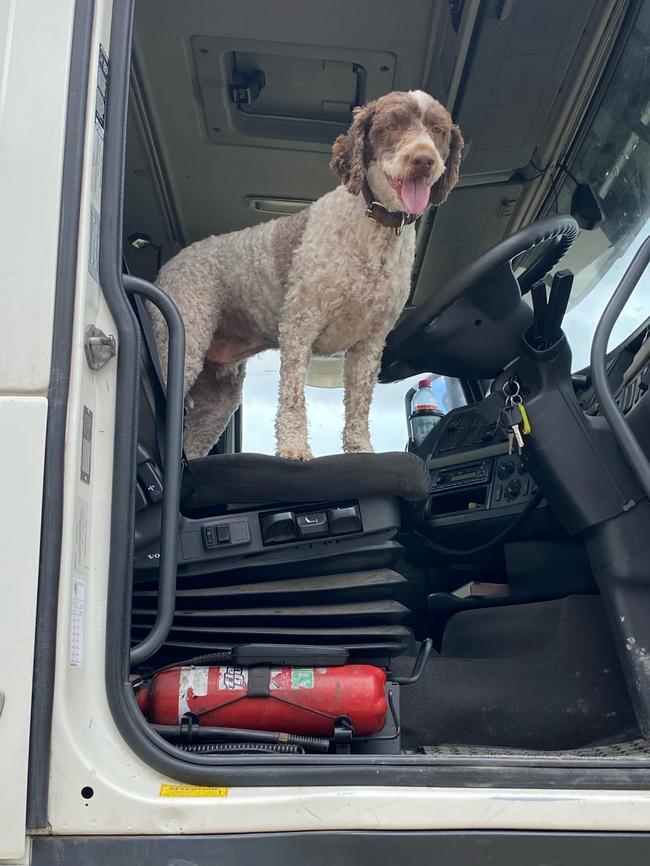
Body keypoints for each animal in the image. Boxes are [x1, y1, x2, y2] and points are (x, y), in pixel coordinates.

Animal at [151, 89, 460, 460]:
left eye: (438, 131)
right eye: (393, 124)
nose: (423, 159)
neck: (372, 228)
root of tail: (169, 264)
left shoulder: (370, 342)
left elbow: (359, 403)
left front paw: (360, 449)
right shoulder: (301, 323)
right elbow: (293, 395)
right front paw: (294, 447)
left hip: (219, 395)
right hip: (183, 342)